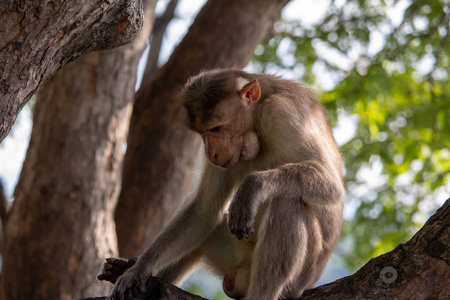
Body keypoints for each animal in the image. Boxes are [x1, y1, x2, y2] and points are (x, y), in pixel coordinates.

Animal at [101, 68, 344, 300]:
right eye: (202, 132)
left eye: (215, 128)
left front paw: (250, 188)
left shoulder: (281, 112)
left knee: (288, 204)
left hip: (299, 279)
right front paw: (138, 270)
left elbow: (332, 185)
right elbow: (203, 211)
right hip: (233, 256)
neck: (258, 118)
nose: (211, 154)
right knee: (204, 230)